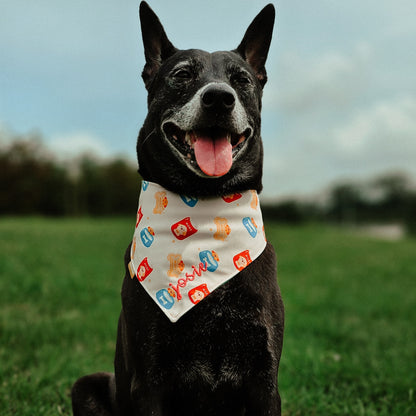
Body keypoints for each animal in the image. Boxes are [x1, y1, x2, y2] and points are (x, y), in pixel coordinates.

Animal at [73, 1, 284, 414]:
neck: (204, 211)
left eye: (242, 80)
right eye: (182, 74)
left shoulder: (265, 381)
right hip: (86, 385)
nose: (219, 98)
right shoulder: (149, 382)